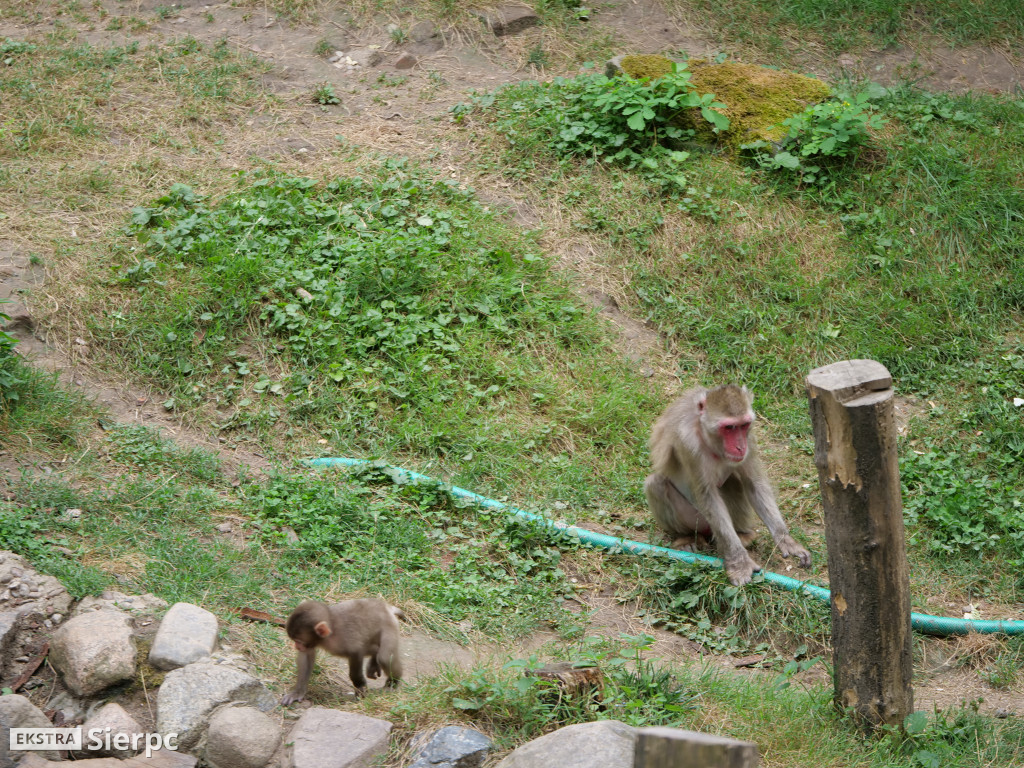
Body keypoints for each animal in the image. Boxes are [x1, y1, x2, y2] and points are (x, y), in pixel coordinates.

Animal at [643, 387, 811, 585]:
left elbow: (754, 483)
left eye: (744, 425)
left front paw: (785, 540)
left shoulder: (749, 439)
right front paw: (739, 562)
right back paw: (686, 538)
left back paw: (743, 535)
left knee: (733, 482)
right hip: (696, 521)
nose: (740, 447)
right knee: (656, 484)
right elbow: (707, 496)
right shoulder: (688, 444)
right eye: (729, 427)